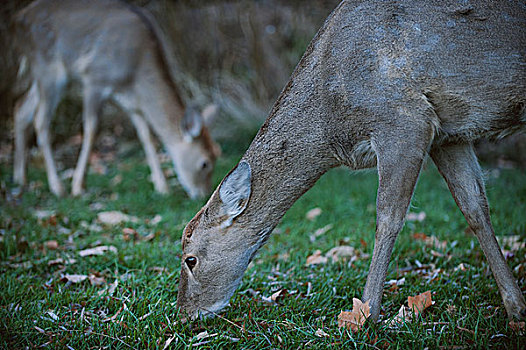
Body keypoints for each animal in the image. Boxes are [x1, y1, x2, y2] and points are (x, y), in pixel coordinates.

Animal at [177, 0, 526, 322]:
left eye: (190, 259)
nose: (183, 313)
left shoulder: (404, 121)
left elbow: (388, 217)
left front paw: (365, 314)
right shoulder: (449, 134)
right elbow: (474, 207)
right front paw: (516, 308)